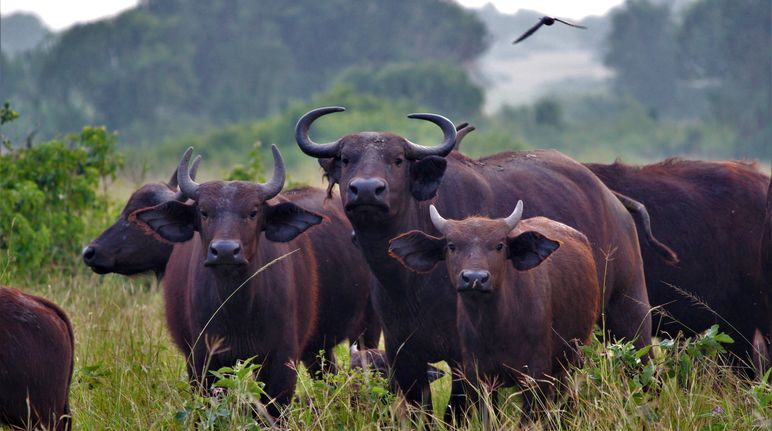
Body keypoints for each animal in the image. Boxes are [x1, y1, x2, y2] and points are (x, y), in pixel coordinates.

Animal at [133, 146, 322, 416]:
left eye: (253, 212)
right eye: (204, 212)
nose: (224, 251)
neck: (238, 308)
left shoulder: (282, 359)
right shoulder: (204, 359)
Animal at [390, 204, 600, 424]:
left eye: (499, 245)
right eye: (452, 245)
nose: (474, 278)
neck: (495, 328)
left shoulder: (537, 375)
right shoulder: (478, 378)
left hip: (574, 358)